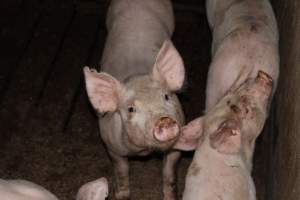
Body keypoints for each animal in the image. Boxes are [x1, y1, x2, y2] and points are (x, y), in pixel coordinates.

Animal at [82, 0, 185, 199]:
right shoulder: (111, 146)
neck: (145, 151)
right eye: (131, 109)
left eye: (166, 96)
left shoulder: (178, 143)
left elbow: (169, 175)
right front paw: (121, 195)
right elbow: (121, 171)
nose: (164, 120)